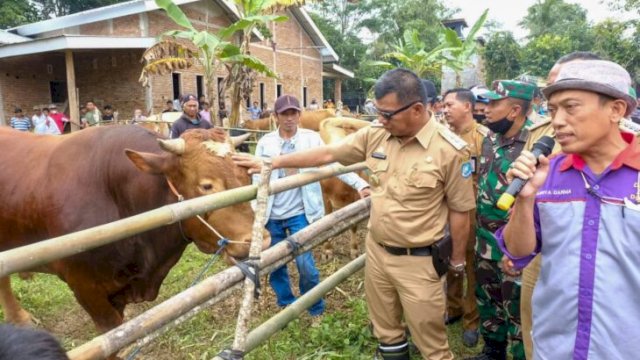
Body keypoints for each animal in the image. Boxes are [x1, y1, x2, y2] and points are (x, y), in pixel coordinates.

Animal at [318, 116, 372, 260]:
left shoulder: (356, 199)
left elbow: (353, 225)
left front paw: (354, 250)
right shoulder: (324, 196)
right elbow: (327, 222)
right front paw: (327, 250)